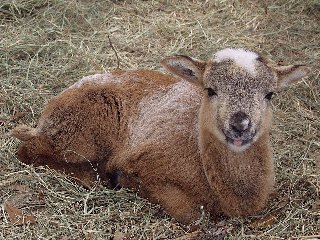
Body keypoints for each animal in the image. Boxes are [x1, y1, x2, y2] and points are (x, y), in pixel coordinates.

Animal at [11, 47, 308, 224]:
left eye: (270, 94)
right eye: (210, 90)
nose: (240, 125)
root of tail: (50, 108)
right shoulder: (150, 165)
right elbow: (191, 214)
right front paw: (125, 180)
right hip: (79, 132)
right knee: (27, 150)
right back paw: (92, 178)